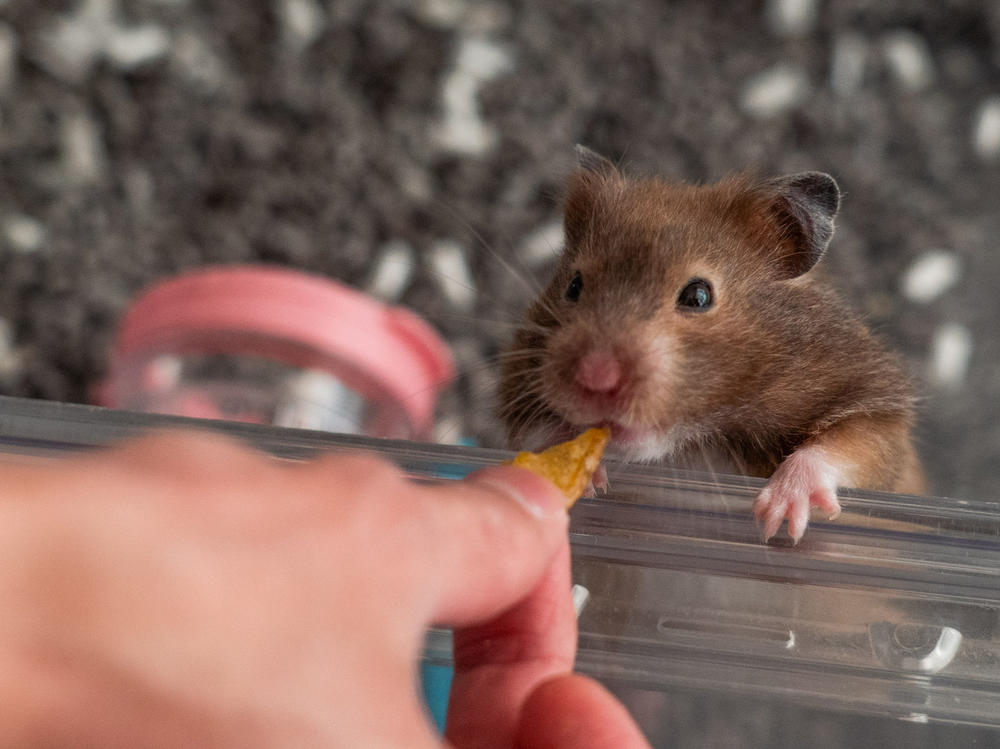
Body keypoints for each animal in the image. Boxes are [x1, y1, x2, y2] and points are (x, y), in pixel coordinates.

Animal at [496, 146, 924, 544]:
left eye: (698, 296)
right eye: (573, 286)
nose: (595, 377)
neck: (695, 442)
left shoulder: (876, 405)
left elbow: (852, 446)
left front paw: (777, 518)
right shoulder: (518, 390)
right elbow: (533, 431)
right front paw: (578, 471)